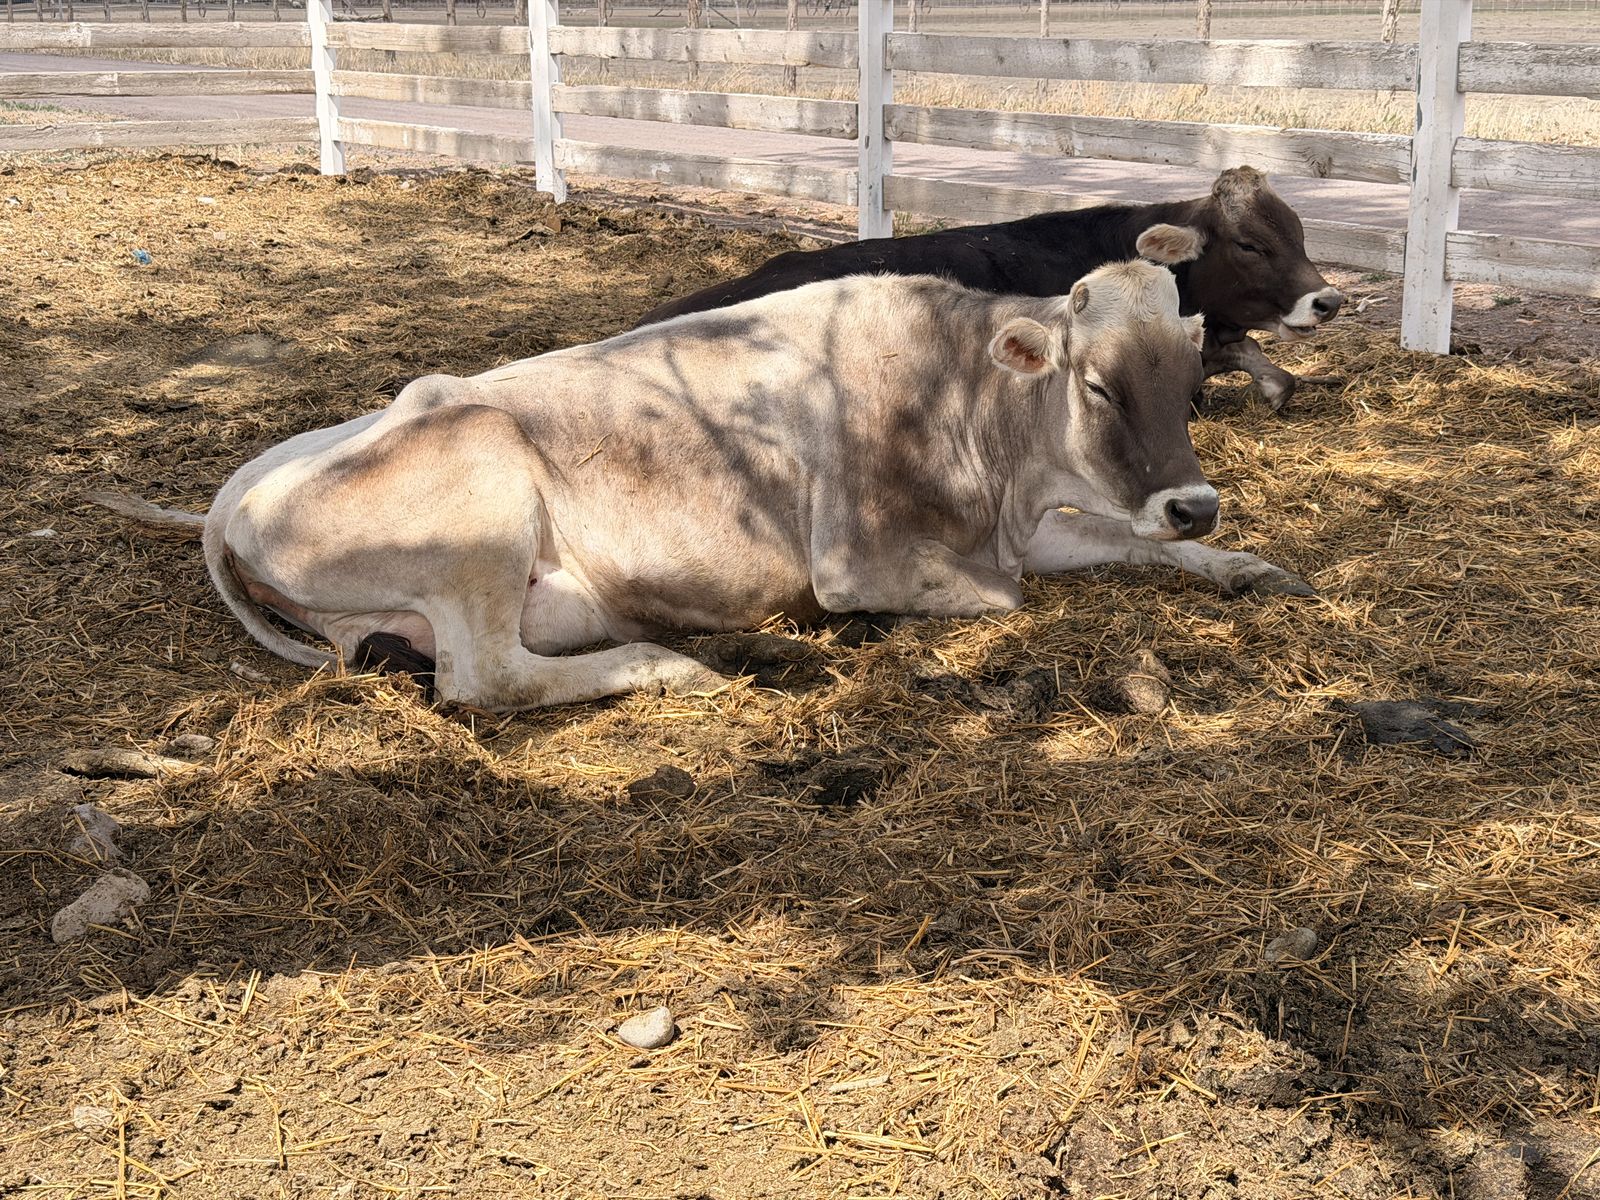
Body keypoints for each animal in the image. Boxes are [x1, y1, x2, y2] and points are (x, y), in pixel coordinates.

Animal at [113, 254, 1311, 713]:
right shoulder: (858, 563)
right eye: (1099, 385)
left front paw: (1245, 563)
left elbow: (1129, 545)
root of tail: (231, 499)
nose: (1194, 498)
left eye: (1190, 382)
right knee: (481, 677)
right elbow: (1010, 596)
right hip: (483, 495)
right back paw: (680, 663)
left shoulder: (1027, 526)